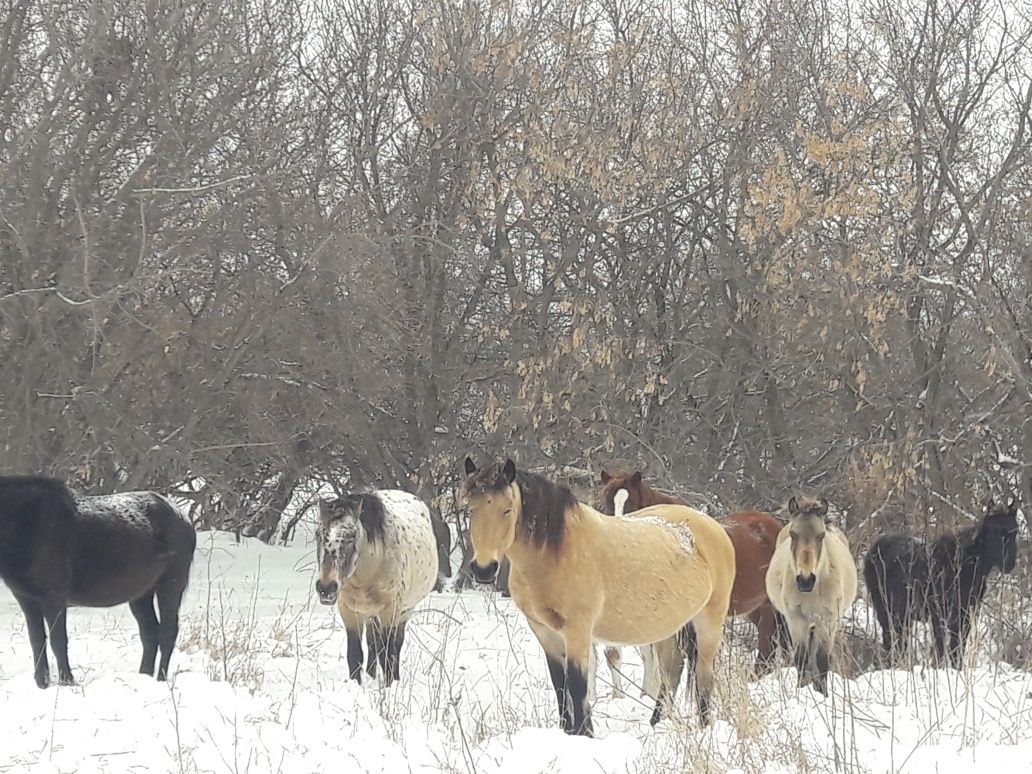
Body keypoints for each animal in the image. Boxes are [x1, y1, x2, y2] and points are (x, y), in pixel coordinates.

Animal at [0, 476, 195, 689]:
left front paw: (67, 681)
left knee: (168, 631)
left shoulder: (54, 597)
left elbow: (58, 641)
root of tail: (183, 517)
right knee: (150, 633)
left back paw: (160, 678)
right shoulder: (27, 599)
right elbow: (36, 641)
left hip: (171, 585)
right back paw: (143, 676)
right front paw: (42, 684)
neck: (27, 523)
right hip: (141, 594)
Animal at [311, 491, 437, 685]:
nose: (326, 587)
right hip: (370, 615)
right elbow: (355, 655)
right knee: (372, 644)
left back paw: (395, 677)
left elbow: (387, 655)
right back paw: (371, 675)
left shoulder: (390, 612)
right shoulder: (349, 611)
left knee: (396, 645)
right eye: (318, 534)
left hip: (404, 612)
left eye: (351, 537)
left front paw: (389, 686)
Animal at [460, 460, 734, 738]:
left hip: (709, 622)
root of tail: (714, 527)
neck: (556, 552)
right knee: (671, 671)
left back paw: (704, 730)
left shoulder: (577, 632)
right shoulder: (545, 633)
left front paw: (584, 735)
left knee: (703, 677)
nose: (484, 569)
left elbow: (577, 686)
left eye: (507, 510)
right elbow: (560, 686)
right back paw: (656, 724)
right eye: (470, 509)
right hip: (670, 628)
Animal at [862, 499, 1015, 668]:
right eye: (995, 531)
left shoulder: (965, 611)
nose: (1009, 563)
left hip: (902, 615)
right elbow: (941, 645)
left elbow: (958, 645)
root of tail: (872, 551)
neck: (969, 564)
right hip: (884, 609)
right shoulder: (938, 611)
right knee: (891, 640)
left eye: (1015, 531)